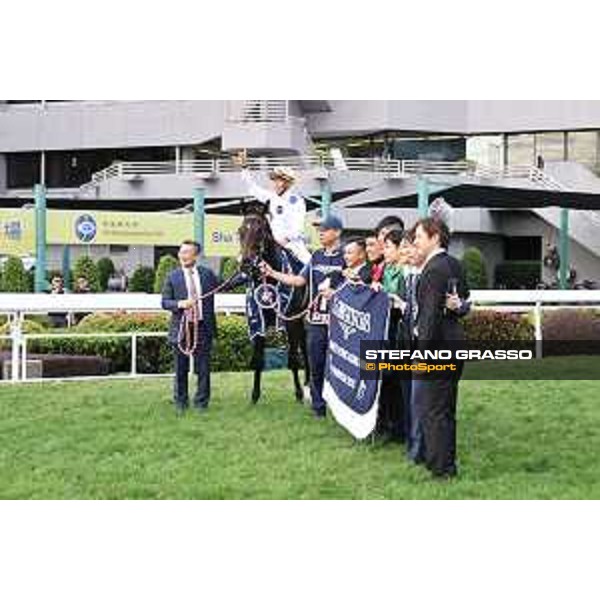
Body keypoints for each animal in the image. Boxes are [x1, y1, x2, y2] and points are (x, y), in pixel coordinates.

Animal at [236, 206, 310, 404]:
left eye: (260, 231)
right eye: (240, 231)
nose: (246, 263)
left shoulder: (290, 321)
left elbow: (293, 359)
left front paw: (299, 394)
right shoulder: (257, 321)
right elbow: (258, 359)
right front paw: (254, 396)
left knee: (306, 348)